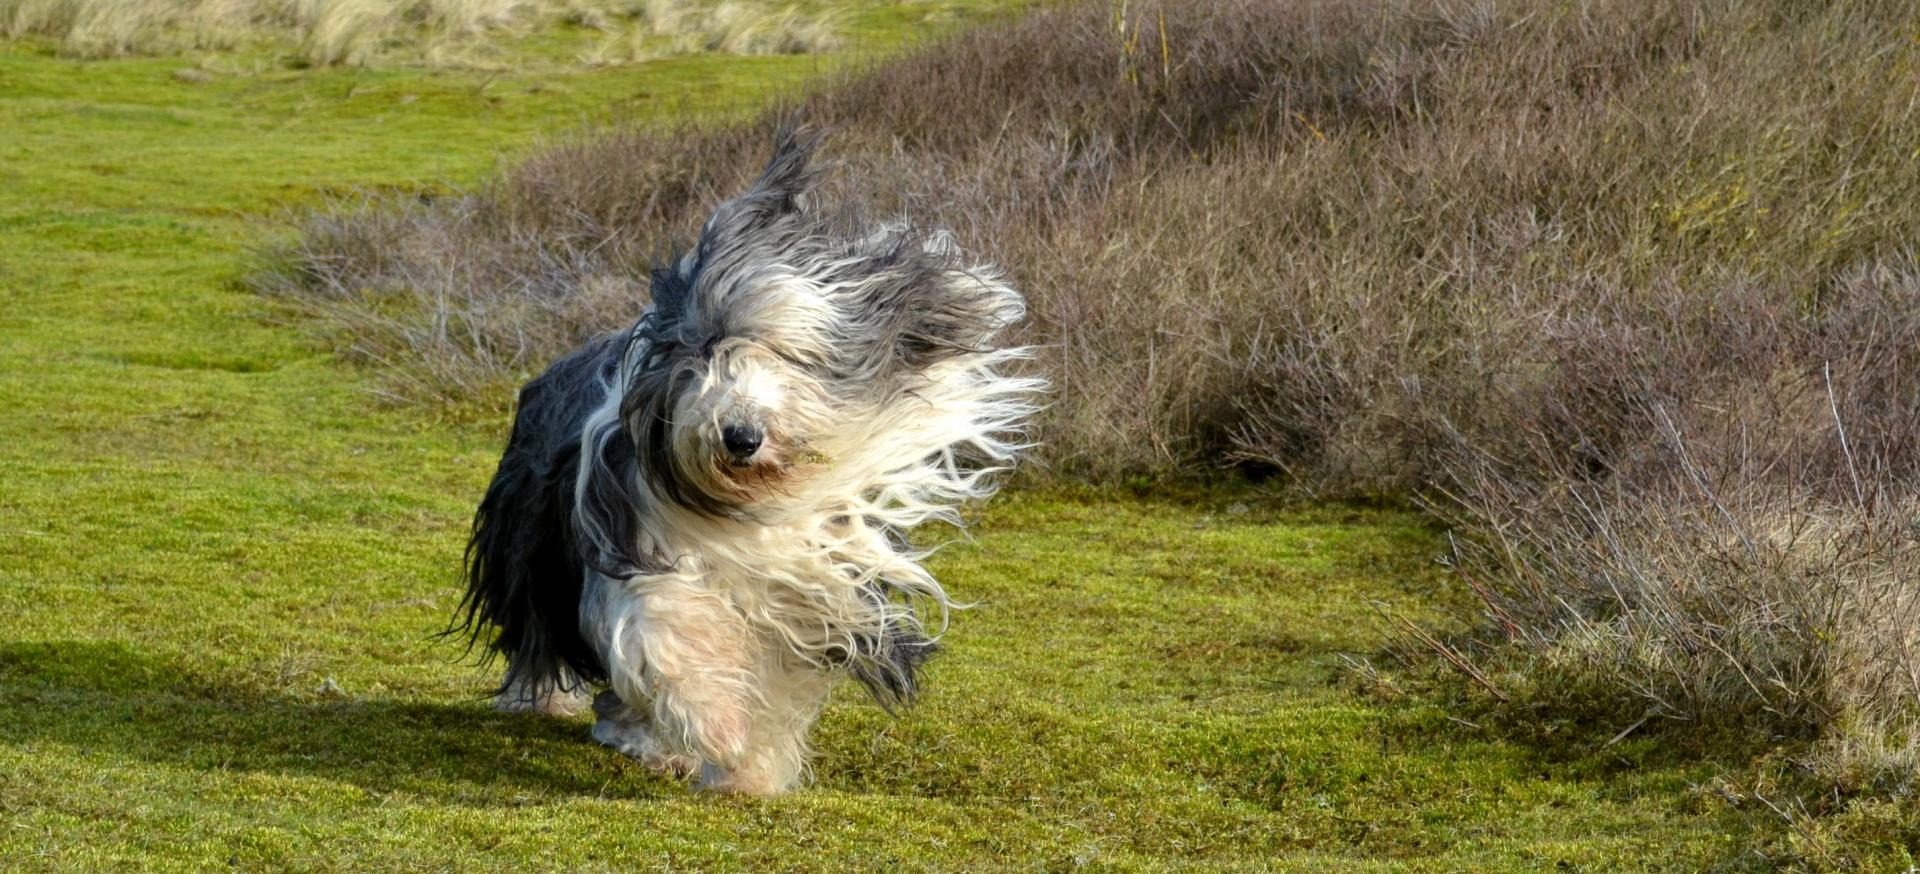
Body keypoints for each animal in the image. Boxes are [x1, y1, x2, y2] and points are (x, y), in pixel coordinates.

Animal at [447, 133, 1044, 799]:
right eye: (703, 355)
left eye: (783, 353)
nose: (740, 435)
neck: (745, 508)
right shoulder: (633, 548)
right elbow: (662, 631)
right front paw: (720, 726)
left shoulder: (803, 588)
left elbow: (776, 678)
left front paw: (748, 769)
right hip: (530, 545)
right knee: (539, 628)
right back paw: (551, 700)